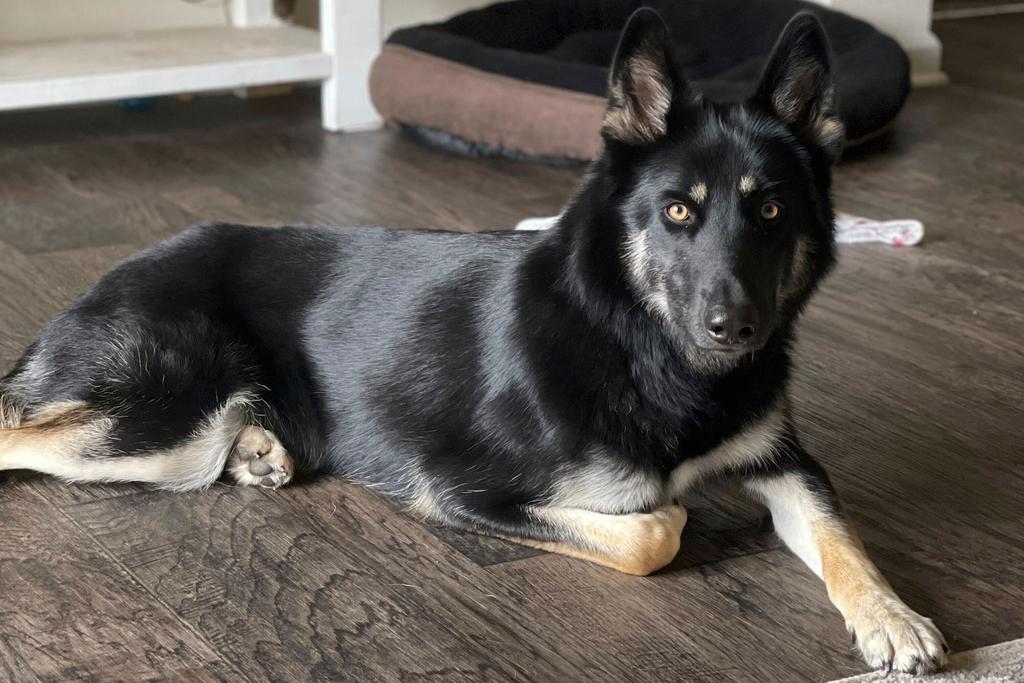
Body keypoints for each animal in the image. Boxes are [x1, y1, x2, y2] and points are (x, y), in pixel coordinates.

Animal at [0, 10, 942, 679]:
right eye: (678, 210)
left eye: (772, 210)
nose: (735, 329)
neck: (641, 345)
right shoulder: (464, 490)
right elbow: (652, 533)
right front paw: (669, 514)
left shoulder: (787, 461)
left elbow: (842, 535)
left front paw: (892, 614)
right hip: (166, 423)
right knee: (23, 432)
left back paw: (262, 449)